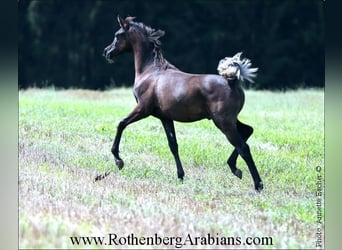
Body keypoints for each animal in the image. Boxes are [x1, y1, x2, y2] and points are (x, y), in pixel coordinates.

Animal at [101, 15, 264, 191]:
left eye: (117, 35)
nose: (107, 52)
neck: (150, 71)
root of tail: (232, 81)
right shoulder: (165, 117)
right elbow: (173, 144)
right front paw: (180, 176)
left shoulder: (143, 109)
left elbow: (121, 124)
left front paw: (118, 160)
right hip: (230, 120)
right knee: (248, 130)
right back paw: (235, 168)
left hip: (223, 121)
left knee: (243, 147)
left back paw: (257, 184)